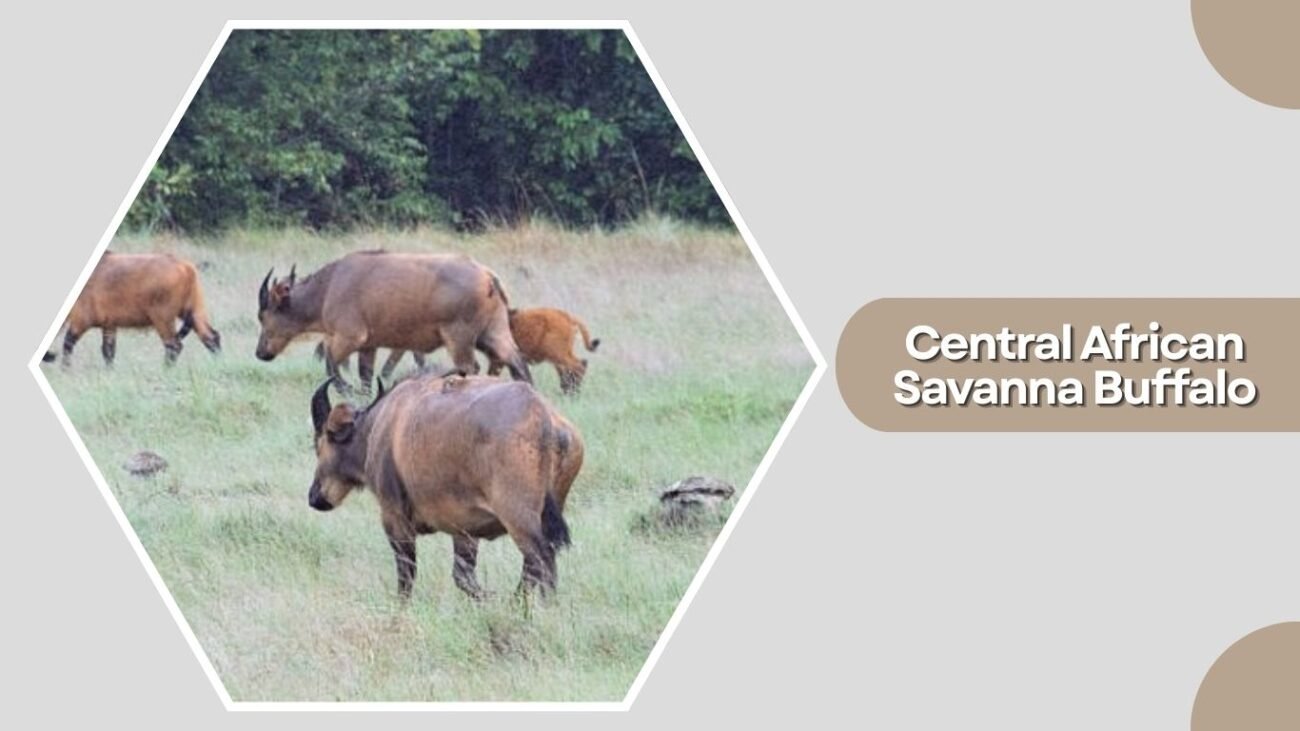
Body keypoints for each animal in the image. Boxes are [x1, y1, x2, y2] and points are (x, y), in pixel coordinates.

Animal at [48, 251, 221, 366]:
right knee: (212, 337)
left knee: (174, 346)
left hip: (162, 318)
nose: (50, 357)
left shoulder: (82, 319)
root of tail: (186, 267)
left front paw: (65, 369)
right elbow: (108, 352)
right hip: (193, 312)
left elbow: (68, 344)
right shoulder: (109, 325)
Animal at [256, 251, 531, 391]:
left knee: (470, 368)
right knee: (517, 363)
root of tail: (488, 277)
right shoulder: (369, 346)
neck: (331, 285)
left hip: (459, 340)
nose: (260, 352)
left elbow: (332, 366)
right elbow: (365, 375)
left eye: (263, 315)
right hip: (493, 335)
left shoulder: (348, 338)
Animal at [308, 371, 584, 597]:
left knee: (542, 561)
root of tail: (546, 419)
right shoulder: (465, 531)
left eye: (319, 444)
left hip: (519, 520)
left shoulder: (395, 520)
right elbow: (463, 578)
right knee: (531, 569)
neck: (386, 421)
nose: (315, 497)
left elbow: (406, 577)